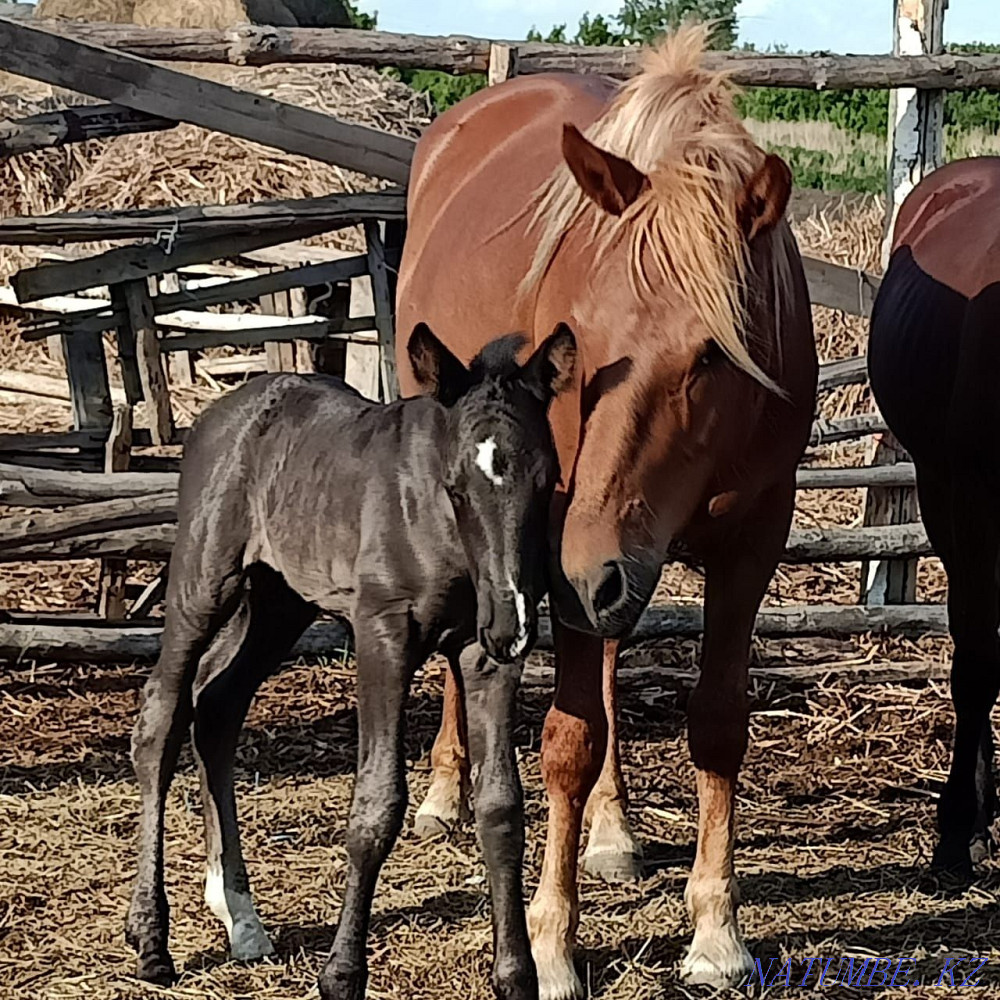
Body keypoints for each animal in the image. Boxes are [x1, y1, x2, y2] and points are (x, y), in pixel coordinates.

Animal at [124, 323, 577, 1000]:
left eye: (547, 480)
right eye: (455, 486)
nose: (511, 623)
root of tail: (223, 411)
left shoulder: (483, 655)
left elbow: (501, 807)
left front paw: (516, 976)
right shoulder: (381, 634)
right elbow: (376, 805)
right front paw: (341, 974)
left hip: (279, 602)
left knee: (219, 705)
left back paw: (243, 921)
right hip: (203, 583)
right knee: (162, 717)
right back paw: (152, 940)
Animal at [396, 26, 817, 997]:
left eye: (713, 353)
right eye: (577, 338)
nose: (586, 571)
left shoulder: (747, 543)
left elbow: (717, 722)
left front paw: (716, 932)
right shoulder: (559, 538)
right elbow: (568, 739)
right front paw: (550, 942)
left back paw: (614, 831)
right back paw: (444, 790)